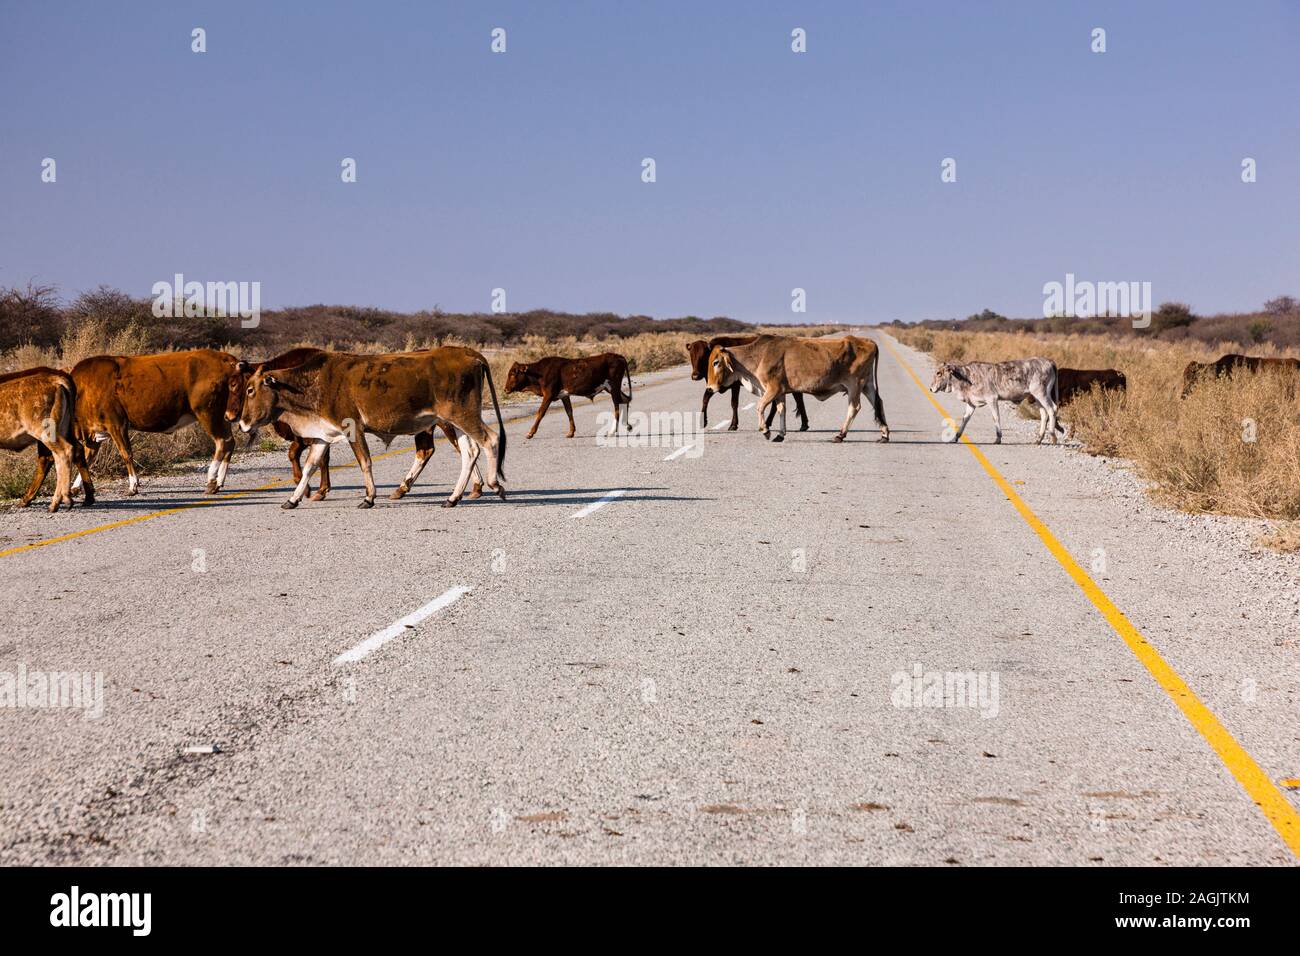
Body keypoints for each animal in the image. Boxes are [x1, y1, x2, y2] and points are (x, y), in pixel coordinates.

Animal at [0, 369, 94, 515]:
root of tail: (57, 380)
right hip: (63, 429)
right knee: (73, 450)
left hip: (45, 432)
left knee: (63, 452)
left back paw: (60, 501)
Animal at [236, 343, 504, 509]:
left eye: (250, 390)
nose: (242, 423)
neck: (314, 382)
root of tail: (471, 355)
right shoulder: (322, 435)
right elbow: (310, 467)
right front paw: (293, 499)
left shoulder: (352, 428)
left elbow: (365, 462)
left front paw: (369, 497)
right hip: (454, 422)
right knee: (470, 452)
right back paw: (453, 497)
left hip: (463, 416)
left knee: (489, 439)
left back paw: (493, 484)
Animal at [707, 335, 889, 442]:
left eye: (716, 362)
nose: (709, 388)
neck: (759, 356)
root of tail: (870, 342)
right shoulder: (780, 392)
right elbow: (781, 410)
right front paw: (780, 434)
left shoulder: (772, 389)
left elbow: (760, 407)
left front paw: (765, 430)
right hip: (867, 385)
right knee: (878, 403)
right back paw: (884, 435)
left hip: (855, 385)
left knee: (854, 407)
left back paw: (840, 435)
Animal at [925, 358, 1055, 444]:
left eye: (939, 373)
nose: (931, 388)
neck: (967, 377)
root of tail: (1049, 361)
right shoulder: (971, 404)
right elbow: (965, 419)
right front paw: (955, 438)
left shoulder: (992, 399)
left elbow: (995, 417)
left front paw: (998, 438)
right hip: (1037, 397)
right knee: (1044, 413)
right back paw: (1039, 439)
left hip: (1040, 393)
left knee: (1052, 409)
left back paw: (1053, 437)